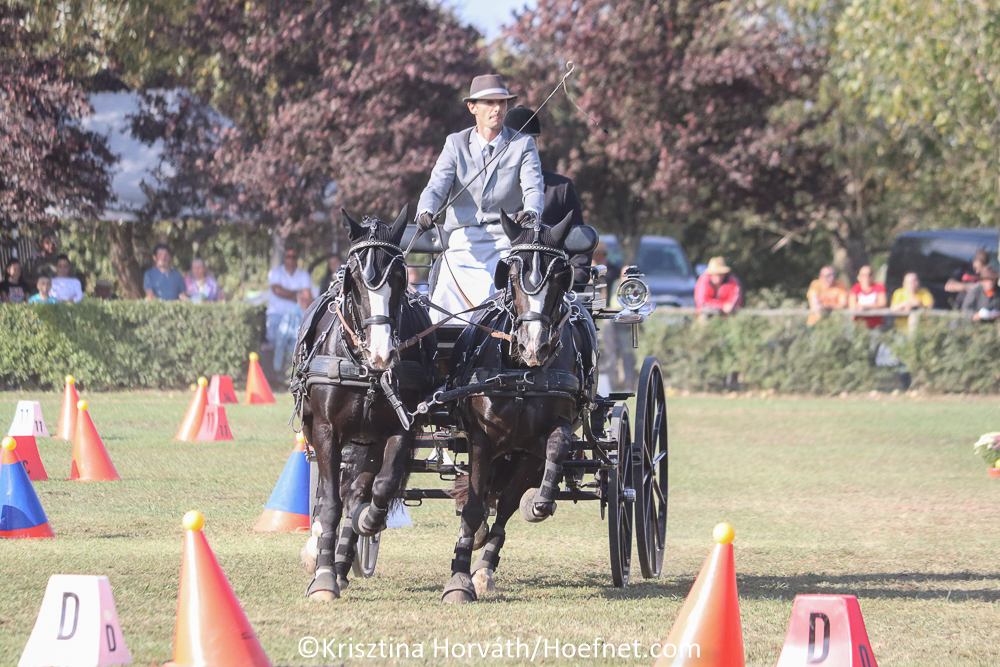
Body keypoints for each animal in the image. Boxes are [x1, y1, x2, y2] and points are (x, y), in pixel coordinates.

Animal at [293, 206, 436, 601]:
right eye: (355, 281)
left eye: (401, 279)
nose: (381, 353)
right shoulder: (326, 430)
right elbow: (330, 502)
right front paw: (323, 577)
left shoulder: (401, 428)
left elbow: (380, 488)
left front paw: (368, 523)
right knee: (333, 491)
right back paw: (324, 555)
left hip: (367, 441)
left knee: (358, 491)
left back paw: (345, 558)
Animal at [440, 210, 597, 603]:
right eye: (510, 275)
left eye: (560, 276)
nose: (533, 346)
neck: (520, 375)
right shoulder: (480, 438)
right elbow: (474, 505)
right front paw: (458, 579)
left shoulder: (538, 443)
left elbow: (556, 447)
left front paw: (540, 502)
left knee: (508, 502)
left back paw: (487, 565)